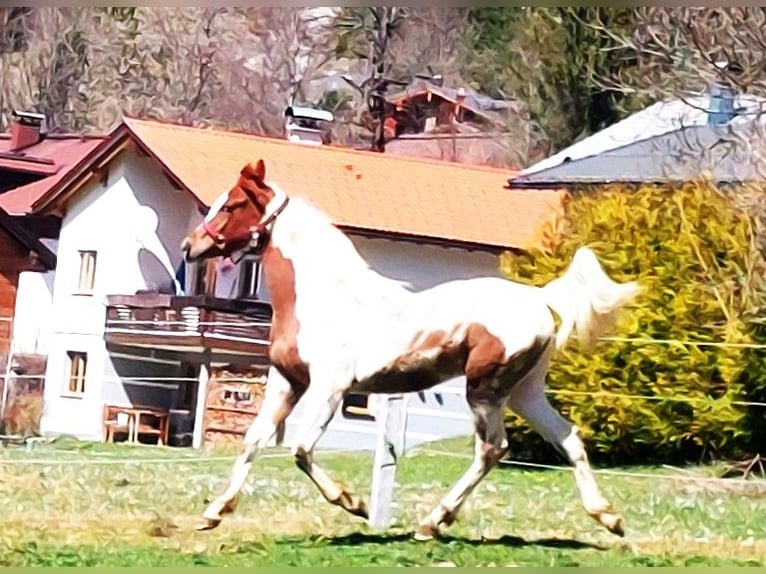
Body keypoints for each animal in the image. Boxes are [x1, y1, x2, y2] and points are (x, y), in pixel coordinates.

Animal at [180, 159, 641, 540]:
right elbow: (254, 440)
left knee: (492, 449)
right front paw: (214, 512)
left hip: (485, 390)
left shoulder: (330, 386)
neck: (323, 296)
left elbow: (301, 449)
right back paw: (608, 517)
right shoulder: (287, 381)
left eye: (231, 204)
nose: (189, 247)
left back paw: (432, 522)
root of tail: (539, 299)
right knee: (568, 438)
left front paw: (355, 504)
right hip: (524, 393)